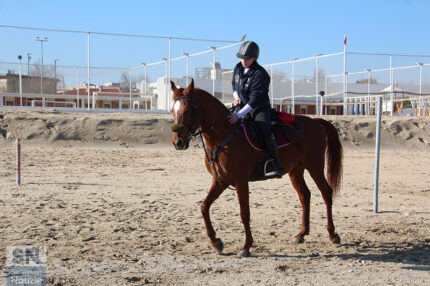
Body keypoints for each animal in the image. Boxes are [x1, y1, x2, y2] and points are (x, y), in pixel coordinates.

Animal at [170, 79, 340, 256]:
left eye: (187, 110)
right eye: (172, 110)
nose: (178, 142)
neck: (224, 135)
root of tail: (315, 121)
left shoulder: (241, 181)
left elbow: (244, 213)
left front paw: (246, 246)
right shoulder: (220, 180)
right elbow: (204, 207)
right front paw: (216, 242)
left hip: (315, 166)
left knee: (326, 192)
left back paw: (332, 234)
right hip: (296, 170)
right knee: (305, 196)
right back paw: (302, 234)